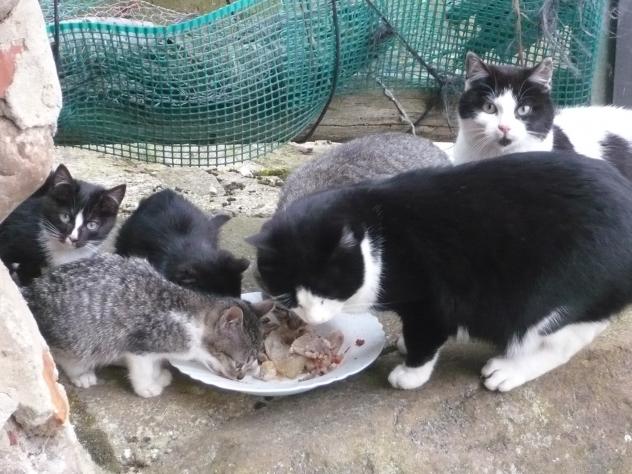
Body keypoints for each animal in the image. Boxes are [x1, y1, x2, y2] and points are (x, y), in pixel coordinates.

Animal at [23, 253, 272, 397]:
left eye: (253, 359)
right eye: (238, 362)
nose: (240, 377)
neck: (191, 318)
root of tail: (32, 291)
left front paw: (159, 375)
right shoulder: (140, 344)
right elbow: (142, 368)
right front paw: (147, 386)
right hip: (78, 338)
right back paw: (82, 374)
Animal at [248, 151, 632, 392]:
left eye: (327, 287)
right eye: (287, 295)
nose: (312, 317)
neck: (378, 237)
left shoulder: (431, 300)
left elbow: (425, 337)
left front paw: (410, 374)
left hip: (555, 293)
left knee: (567, 335)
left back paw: (508, 370)